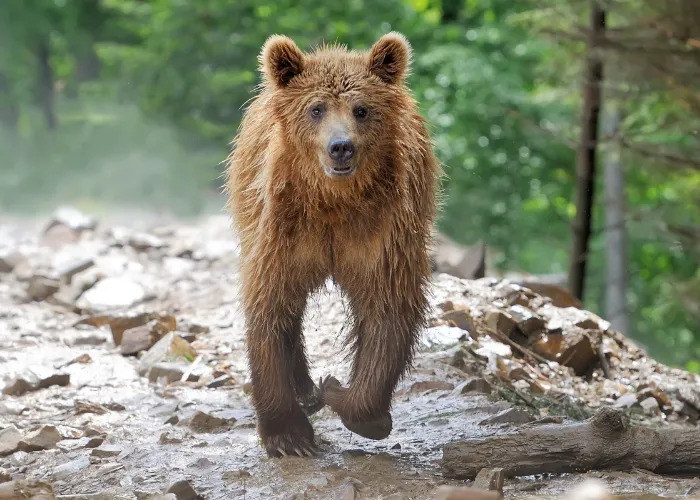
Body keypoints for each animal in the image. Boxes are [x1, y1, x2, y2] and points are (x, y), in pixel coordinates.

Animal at [226, 31, 442, 458]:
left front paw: (344, 395)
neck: (333, 201)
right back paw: (304, 389)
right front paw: (289, 435)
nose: (341, 146)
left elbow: (387, 308)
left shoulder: (383, 230)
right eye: (316, 109)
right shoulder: (284, 228)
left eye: (361, 109)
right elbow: (270, 304)